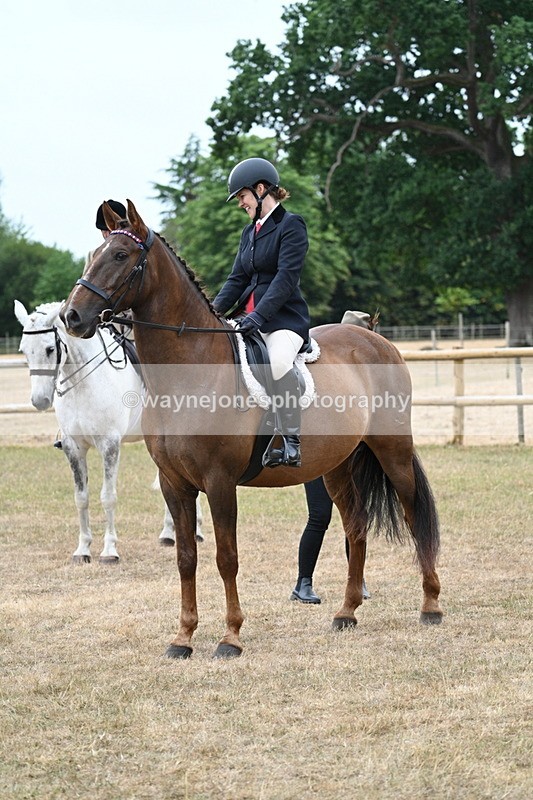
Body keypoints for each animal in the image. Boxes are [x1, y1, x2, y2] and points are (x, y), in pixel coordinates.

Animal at [15, 299, 203, 563]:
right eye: (24, 350)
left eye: (50, 349)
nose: (39, 401)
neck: (83, 382)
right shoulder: (73, 447)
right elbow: (81, 498)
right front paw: (83, 549)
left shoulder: (109, 445)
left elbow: (108, 497)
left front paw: (109, 550)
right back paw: (168, 533)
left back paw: (196, 531)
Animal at [60, 199, 443, 658]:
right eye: (93, 256)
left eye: (120, 255)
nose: (71, 316)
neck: (189, 370)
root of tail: (376, 340)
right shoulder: (174, 483)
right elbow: (186, 557)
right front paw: (183, 638)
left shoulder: (220, 481)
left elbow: (227, 557)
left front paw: (230, 637)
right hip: (337, 465)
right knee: (356, 526)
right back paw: (346, 613)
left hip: (393, 450)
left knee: (413, 514)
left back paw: (430, 606)